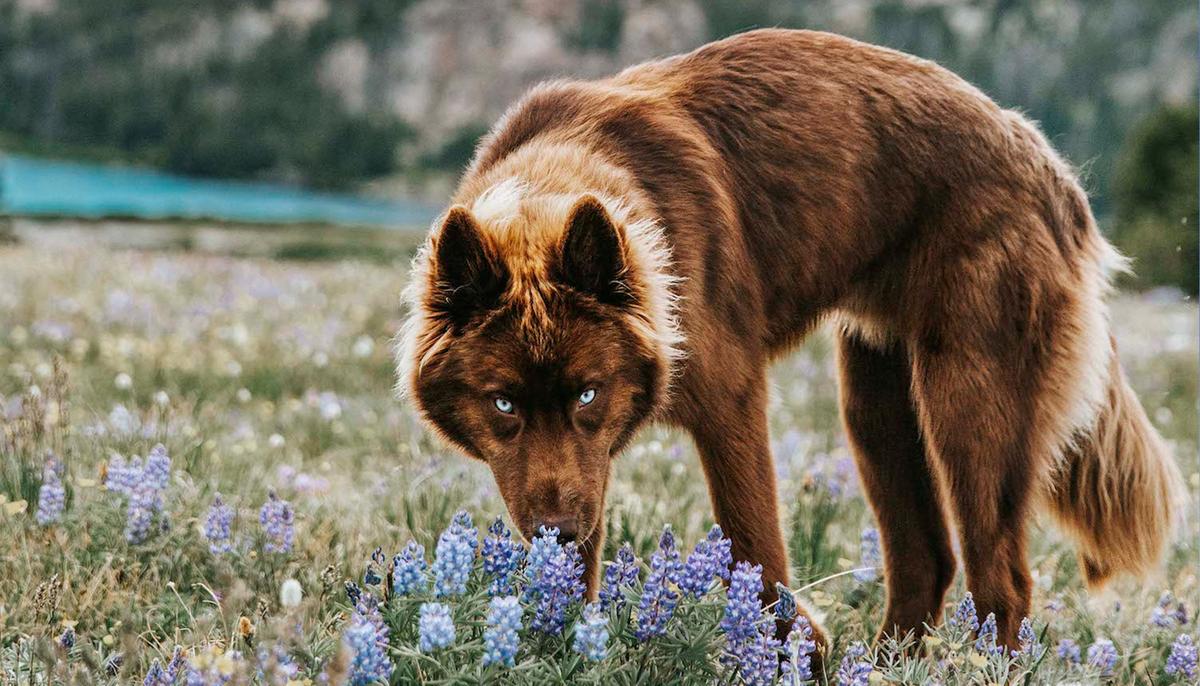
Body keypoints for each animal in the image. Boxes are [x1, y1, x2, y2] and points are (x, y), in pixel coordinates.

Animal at [397, 28, 1185, 660]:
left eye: (587, 392)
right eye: (502, 405)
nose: (554, 532)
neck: (559, 182)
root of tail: (1050, 165)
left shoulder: (727, 402)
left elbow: (753, 546)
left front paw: (793, 652)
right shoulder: (580, 466)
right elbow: (578, 570)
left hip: (970, 401)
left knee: (1004, 583)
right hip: (875, 397)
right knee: (925, 558)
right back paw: (888, 666)